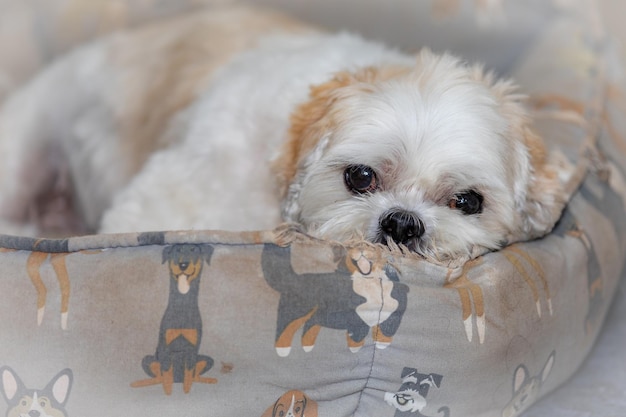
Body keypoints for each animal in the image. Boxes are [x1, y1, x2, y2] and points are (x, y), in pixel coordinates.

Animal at [130, 242, 217, 392]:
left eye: (193, 250)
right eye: (177, 250)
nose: (183, 264)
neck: (181, 310)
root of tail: (178, 380)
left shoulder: (192, 348)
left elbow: (188, 376)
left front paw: (187, 392)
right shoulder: (166, 348)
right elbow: (166, 377)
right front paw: (168, 393)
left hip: (206, 359)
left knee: (196, 374)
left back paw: (207, 379)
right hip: (149, 359)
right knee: (158, 375)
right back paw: (142, 383)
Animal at [260, 242, 408, 356]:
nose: (361, 249)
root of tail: (296, 278)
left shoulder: (394, 313)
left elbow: (386, 330)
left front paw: (381, 343)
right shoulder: (356, 317)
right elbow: (358, 334)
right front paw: (355, 347)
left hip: (317, 315)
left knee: (310, 326)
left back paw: (307, 346)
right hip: (297, 311)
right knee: (285, 328)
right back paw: (283, 349)